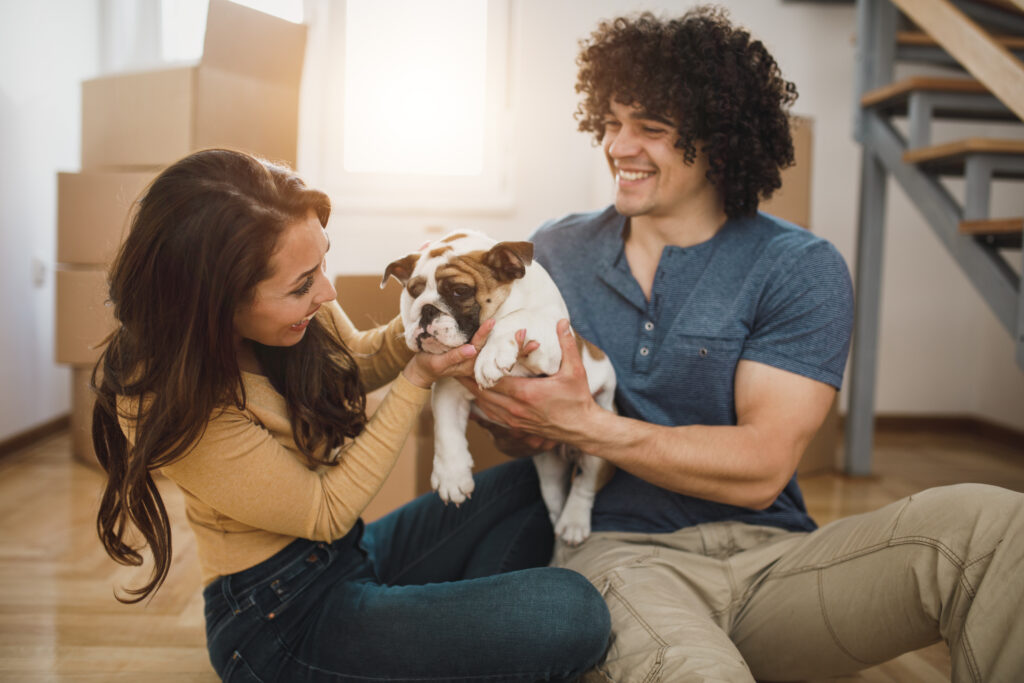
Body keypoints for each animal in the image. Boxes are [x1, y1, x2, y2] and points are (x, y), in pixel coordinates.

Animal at [385, 232, 614, 548]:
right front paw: (451, 476)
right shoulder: (448, 385)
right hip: (549, 467)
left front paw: (493, 353)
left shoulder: (555, 353)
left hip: (598, 444)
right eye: (414, 292)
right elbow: (446, 430)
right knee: (555, 494)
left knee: (584, 485)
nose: (426, 309)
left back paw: (573, 524)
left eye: (459, 291)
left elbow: (518, 318)